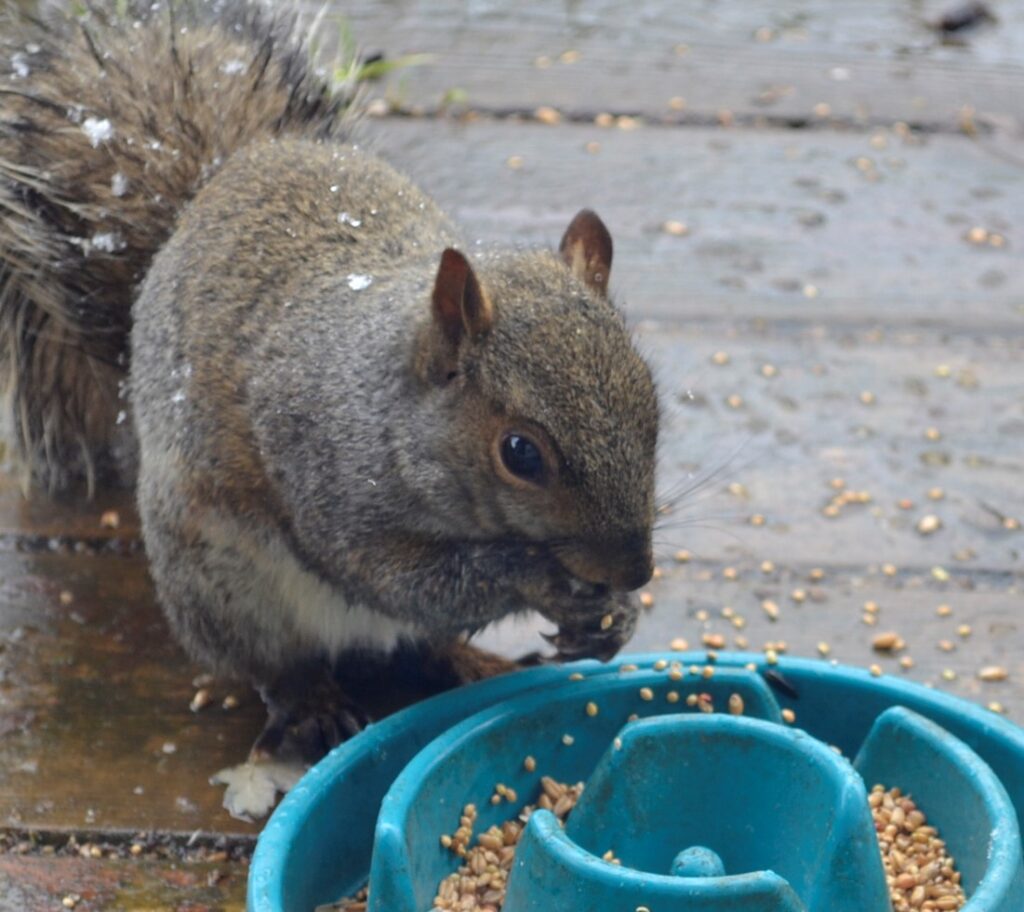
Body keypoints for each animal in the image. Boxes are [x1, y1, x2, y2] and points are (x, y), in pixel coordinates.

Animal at [0, 0, 655, 761]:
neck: (391, 408)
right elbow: (406, 579)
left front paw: (614, 619)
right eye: (520, 453)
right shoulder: (329, 485)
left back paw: (473, 664)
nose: (636, 571)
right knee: (280, 661)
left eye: (652, 407)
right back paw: (312, 704)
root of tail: (219, 182)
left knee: (422, 646)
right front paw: (542, 581)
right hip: (223, 578)